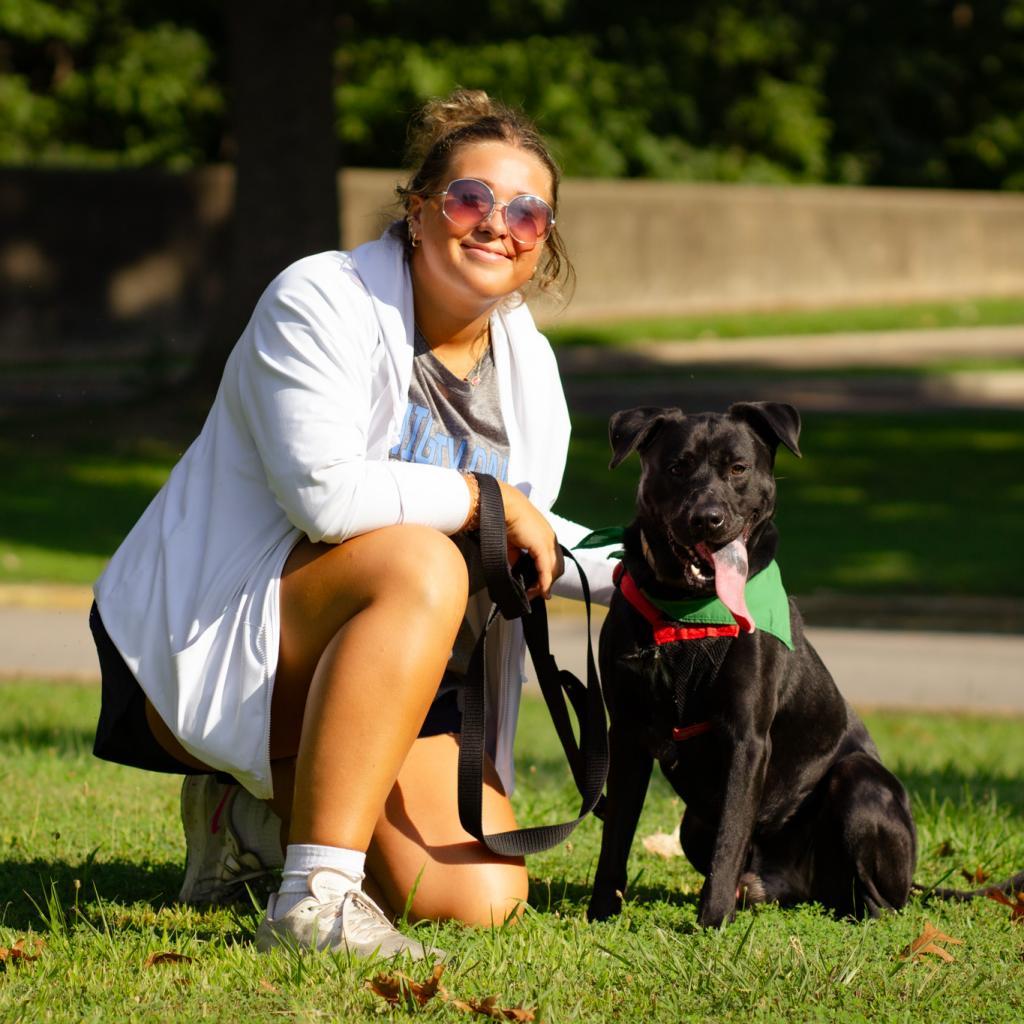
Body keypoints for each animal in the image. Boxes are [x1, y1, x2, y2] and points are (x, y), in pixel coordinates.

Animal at [589, 401, 917, 929]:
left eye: (738, 468)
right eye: (677, 467)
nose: (708, 519)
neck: (690, 611)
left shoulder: (746, 738)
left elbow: (730, 839)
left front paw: (710, 923)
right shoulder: (627, 732)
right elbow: (614, 837)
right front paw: (600, 914)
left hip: (860, 782)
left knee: (878, 901)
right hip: (692, 823)